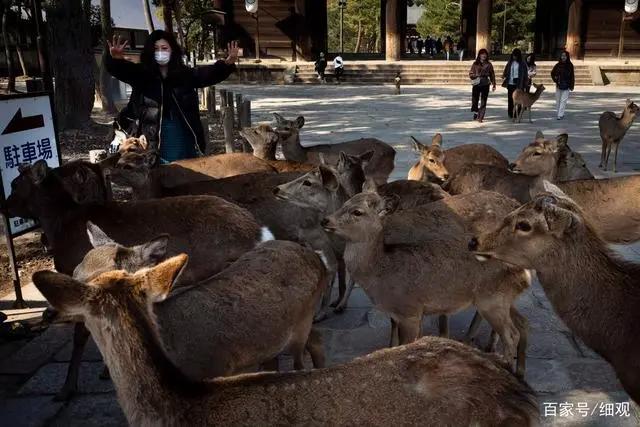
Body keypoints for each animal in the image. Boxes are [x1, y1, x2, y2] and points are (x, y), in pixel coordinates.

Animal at [3, 160, 268, 402]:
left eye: (14, 184)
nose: (3, 208)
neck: (61, 226)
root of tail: (257, 230)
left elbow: (80, 336)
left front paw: (66, 389)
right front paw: (103, 372)